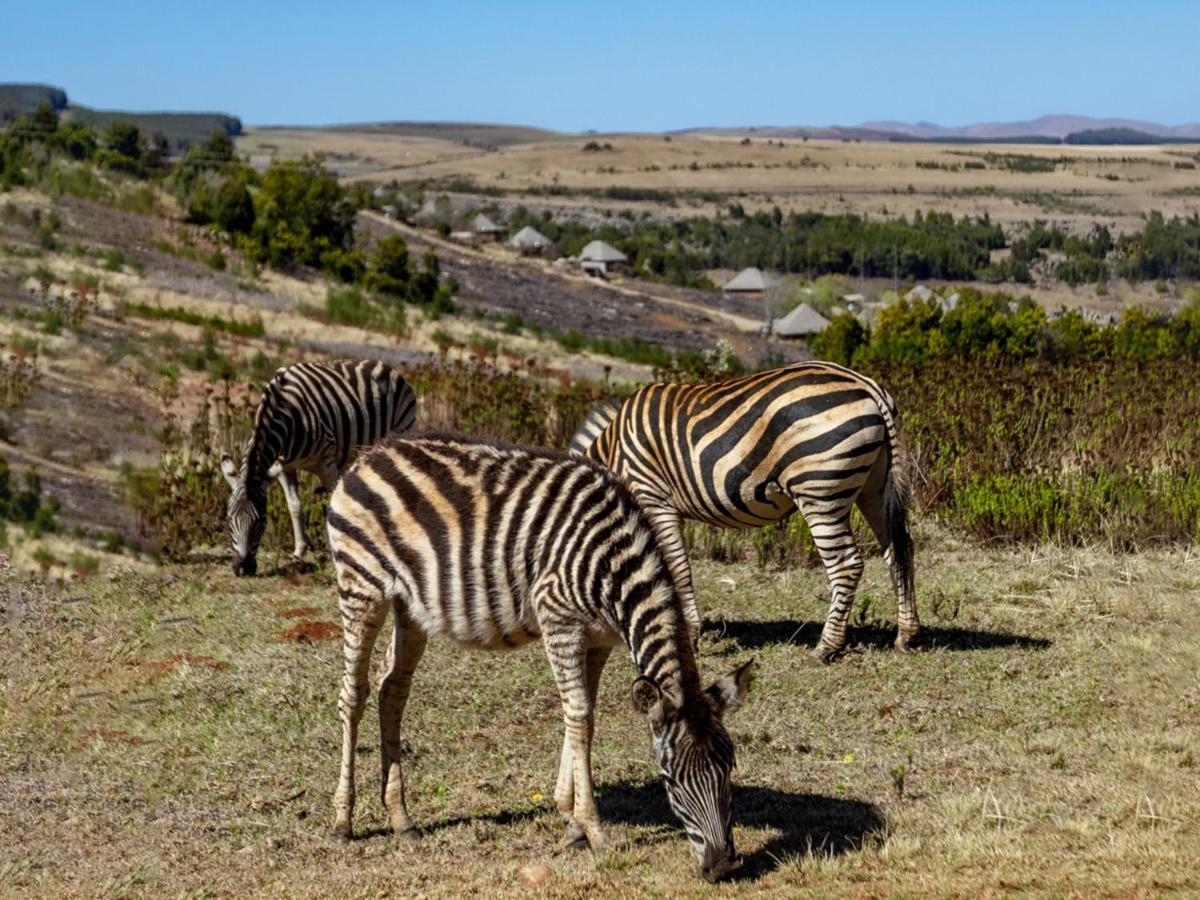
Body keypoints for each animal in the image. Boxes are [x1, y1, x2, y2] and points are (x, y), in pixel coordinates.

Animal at [220, 360, 417, 578]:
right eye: (228, 520)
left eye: (261, 522)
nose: (242, 568)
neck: (286, 413)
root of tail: (386, 367)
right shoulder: (283, 468)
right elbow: (294, 507)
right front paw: (298, 552)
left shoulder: (326, 462)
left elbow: (333, 505)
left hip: (399, 431)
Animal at [326, 436, 758, 888]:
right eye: (669, 779)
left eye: (729, 768)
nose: (723, 867)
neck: (613, 566)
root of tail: (370, 453)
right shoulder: (558, 619)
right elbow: (579, 715)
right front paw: (594, 830)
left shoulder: (599, 638)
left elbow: (584, 715)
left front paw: (571, 823)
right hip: (361, 586)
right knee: (353, 695)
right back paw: (343, 822)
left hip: (409, 604)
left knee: (392, 690)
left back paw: (401, 818)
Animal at [568, 362, 916, 667]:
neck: (614, 453)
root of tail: (867, 386)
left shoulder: (654, 498)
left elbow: (677, 568)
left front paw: (687, 637)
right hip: (874, 488)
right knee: (899, 551)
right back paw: (905, 636)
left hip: (820, 492)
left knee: (846, 565)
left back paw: (826, 648)